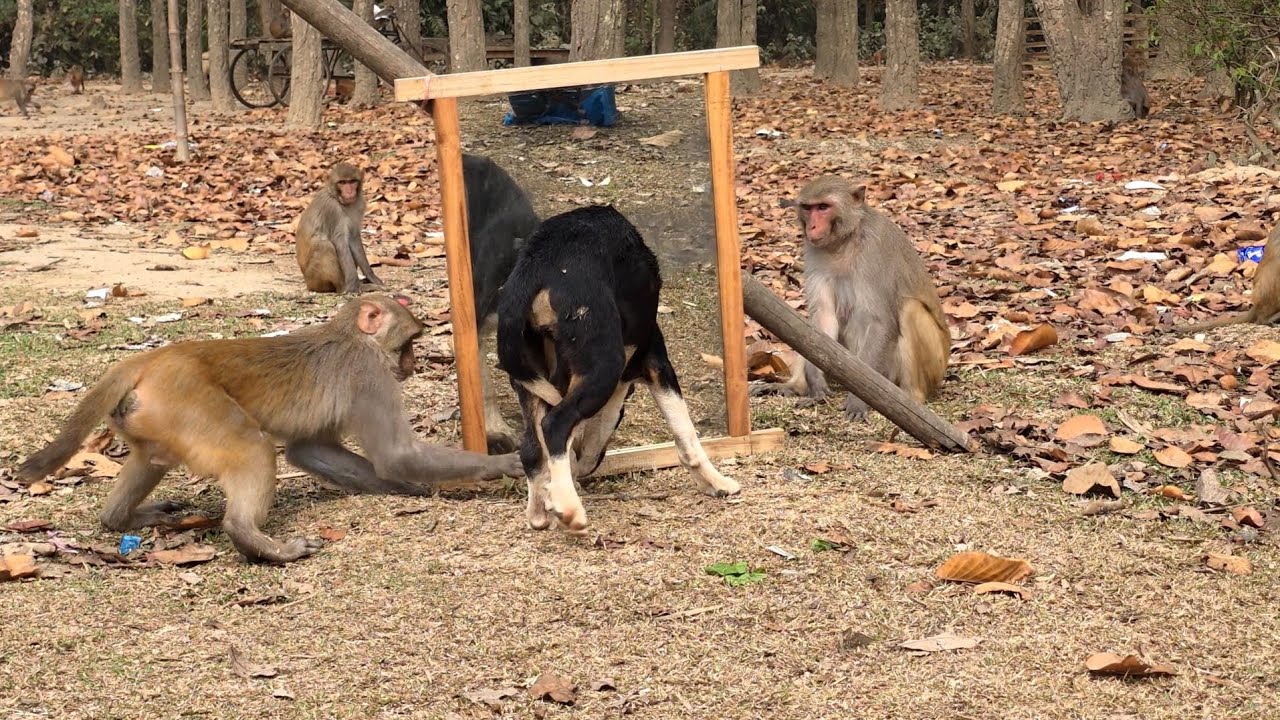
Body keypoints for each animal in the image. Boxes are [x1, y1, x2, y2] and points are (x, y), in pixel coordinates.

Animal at [18, 294, 522, 564]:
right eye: (409, 342)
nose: (413, 365)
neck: (350, 337)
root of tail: (154, 358)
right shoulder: (367, 375)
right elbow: (396, 454)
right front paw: (505, 463)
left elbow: (309, 451)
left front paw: (409, 489)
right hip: (191, 404)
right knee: (252, 448)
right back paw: (254, 538)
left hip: (153, 418)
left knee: (152, 458)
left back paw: (122, 519)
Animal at [296, 162, 384, 294]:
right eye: (342, 182)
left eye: (352, 181)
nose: (349, 191)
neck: (338, 199)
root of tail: (308, 284)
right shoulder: (332, 210)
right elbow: (340, 242)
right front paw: (355, 287)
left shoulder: (360, 204)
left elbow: (353, 238)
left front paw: (372, 277)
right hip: (314, 279)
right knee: (324, 246)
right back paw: (343, 288)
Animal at [497, 206, 740, 534]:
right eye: (621, 416)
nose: (589, 464)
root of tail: (534, 268)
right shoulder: (656, 361)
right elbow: (686, 434)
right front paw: (718, 483)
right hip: (603, 366)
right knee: (555, 424)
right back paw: (570, 509)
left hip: (526, 377)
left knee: (531, 448)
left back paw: (539, 513)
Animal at [752, 177, 951, 421]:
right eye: (808, 208)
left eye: (823, 207)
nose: (811, 227)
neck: (845, 240)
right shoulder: (814, 251)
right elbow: (823, 318)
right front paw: (814, 382)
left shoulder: (875, 250)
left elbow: (881, 322)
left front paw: (859, 399)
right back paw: (794, 387)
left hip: (927, 366)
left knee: (910, 309)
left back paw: (912, 399)